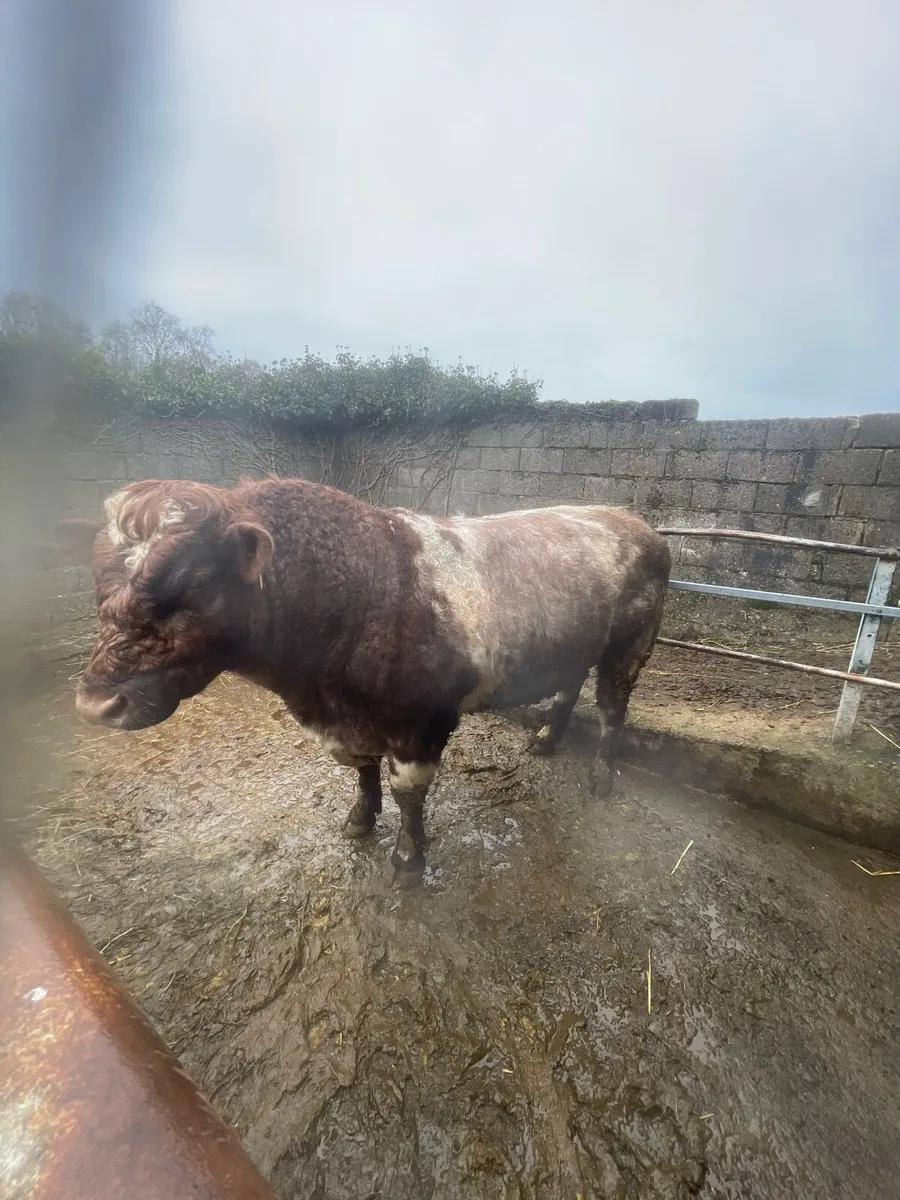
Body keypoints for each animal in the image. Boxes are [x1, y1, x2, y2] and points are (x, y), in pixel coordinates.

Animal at [55, 477, 670, 874]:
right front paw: (360, 818)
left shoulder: (420, 724)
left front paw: (408, 858)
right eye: (97, 582)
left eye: (196, 585)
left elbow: (408, 793)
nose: (95, 705)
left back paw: (601, 775)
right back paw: (546, 738)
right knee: (570, 686)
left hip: (630, 646)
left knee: (612, 707)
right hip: (576, 643)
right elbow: (363, 772)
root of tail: (632, 520)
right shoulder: (349, 723)